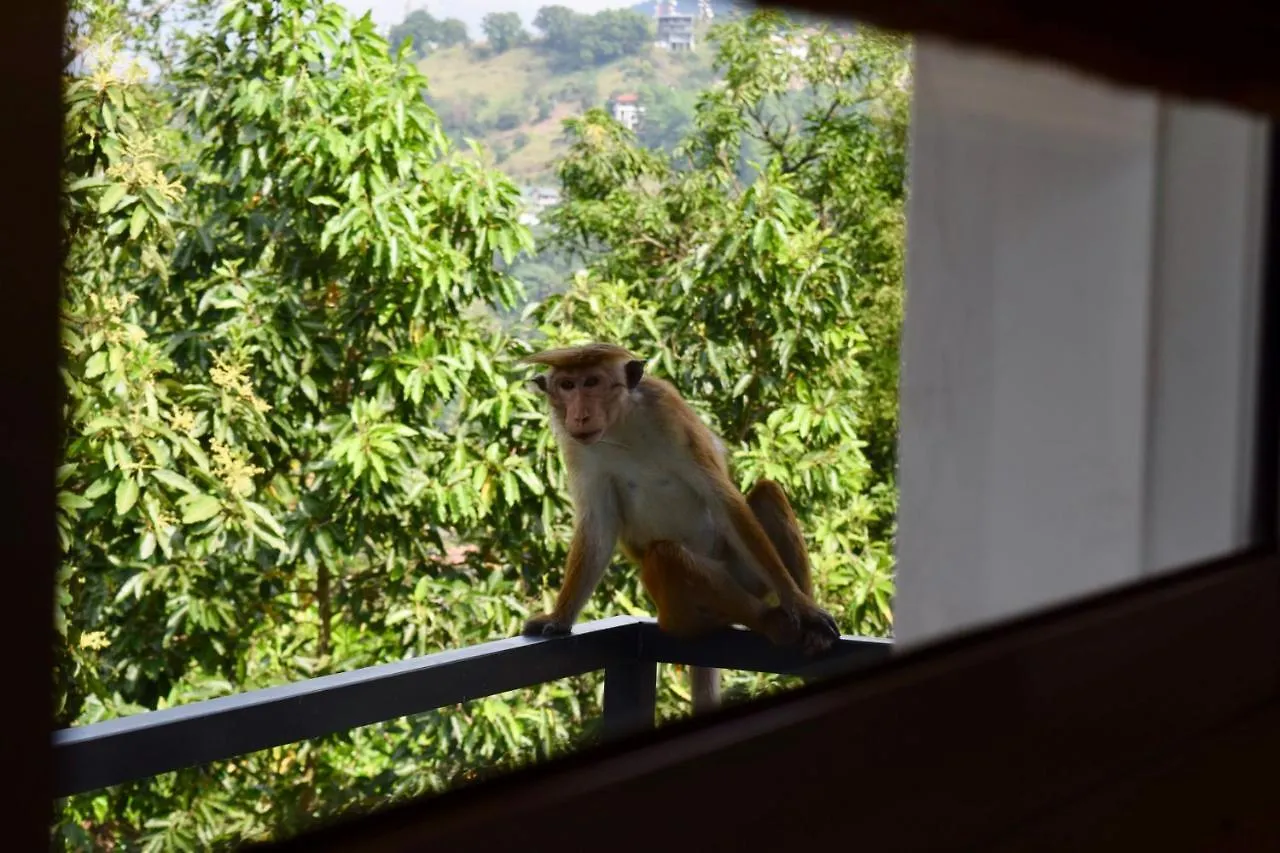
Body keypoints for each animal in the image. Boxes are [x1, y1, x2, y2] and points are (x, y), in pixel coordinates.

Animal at [517, 343, 839, 706]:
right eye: (567, 386)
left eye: (592, 382)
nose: (580, 414)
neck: (620, 427)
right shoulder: (578, 447)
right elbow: (598, 525)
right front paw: (559, 618)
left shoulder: (669, 414)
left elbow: (723, 501)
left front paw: (802, 605)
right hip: (675, 613)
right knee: (666, 556)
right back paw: (766, 621)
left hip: (744, 573)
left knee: (766, 494)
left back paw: (800, 626)